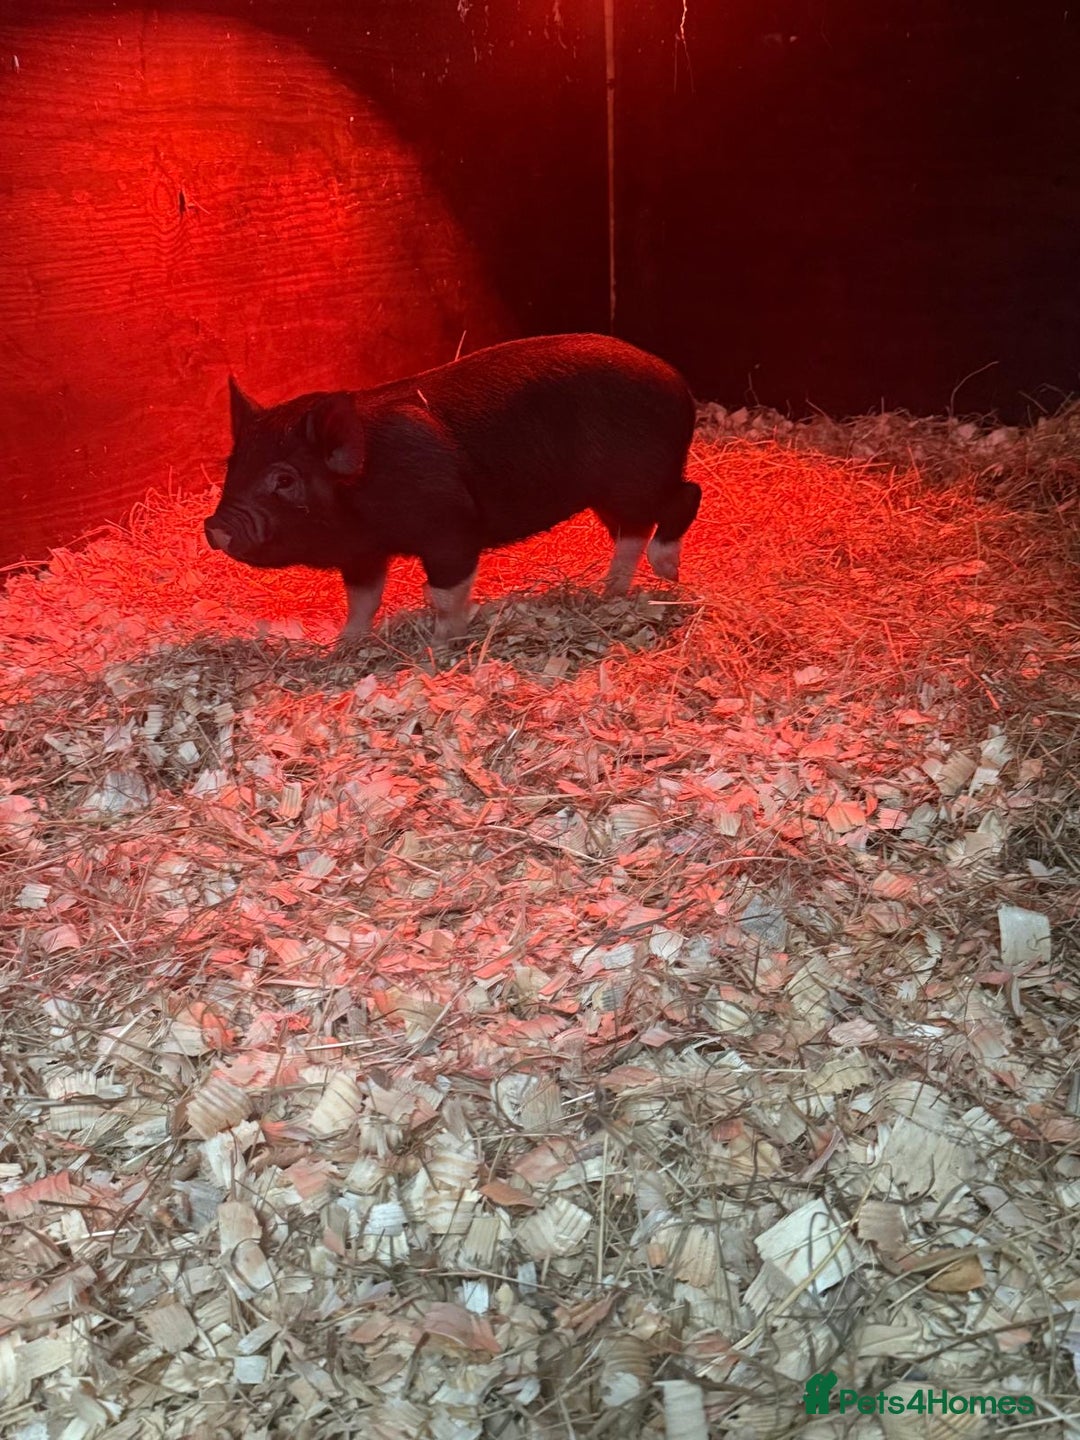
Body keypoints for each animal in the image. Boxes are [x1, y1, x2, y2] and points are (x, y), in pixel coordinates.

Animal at [204, 333, 701, 643]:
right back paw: (609, 594)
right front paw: (344, 645)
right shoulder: (363, 553)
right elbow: (362, 599)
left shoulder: (450, 527)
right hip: (611, 496)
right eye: (233, 466)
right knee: (632, 530)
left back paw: (666, 573)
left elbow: (445, 592)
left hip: (640, 476)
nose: (214, 527)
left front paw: (440, 645)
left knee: (685, 496)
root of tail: (680, 385)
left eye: (284, 480)